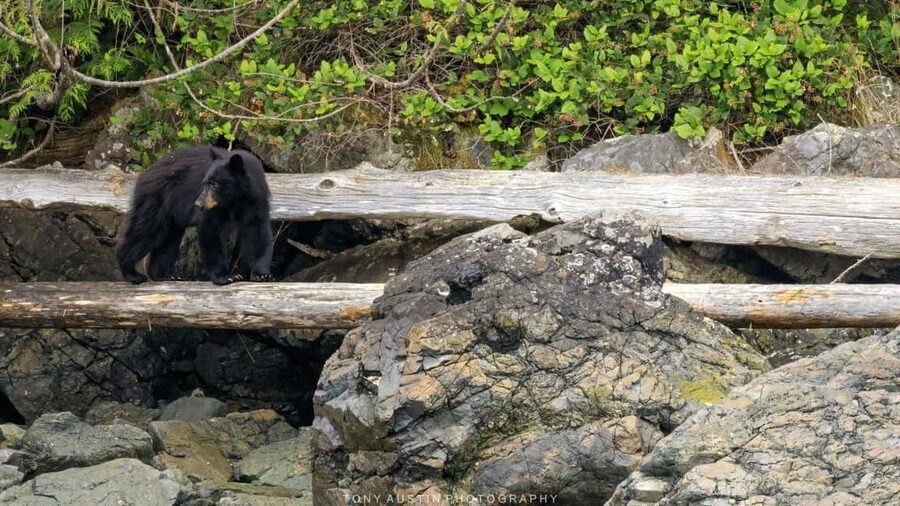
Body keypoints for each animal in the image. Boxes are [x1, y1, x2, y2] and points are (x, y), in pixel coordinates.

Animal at [117, 145, 274, 285]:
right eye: (205, 182)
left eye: (215, 184)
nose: (198, 204)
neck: (235, 198)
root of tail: (146, 172)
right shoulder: (214, 209)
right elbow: (212, 230)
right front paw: (225, 277)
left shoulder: (255, 200)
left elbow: (256, 231)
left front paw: (261, 274)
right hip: (156, 198)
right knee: (146, 231)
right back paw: (132, 273)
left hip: (172, 214)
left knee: (169, 240)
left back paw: (163, 275)